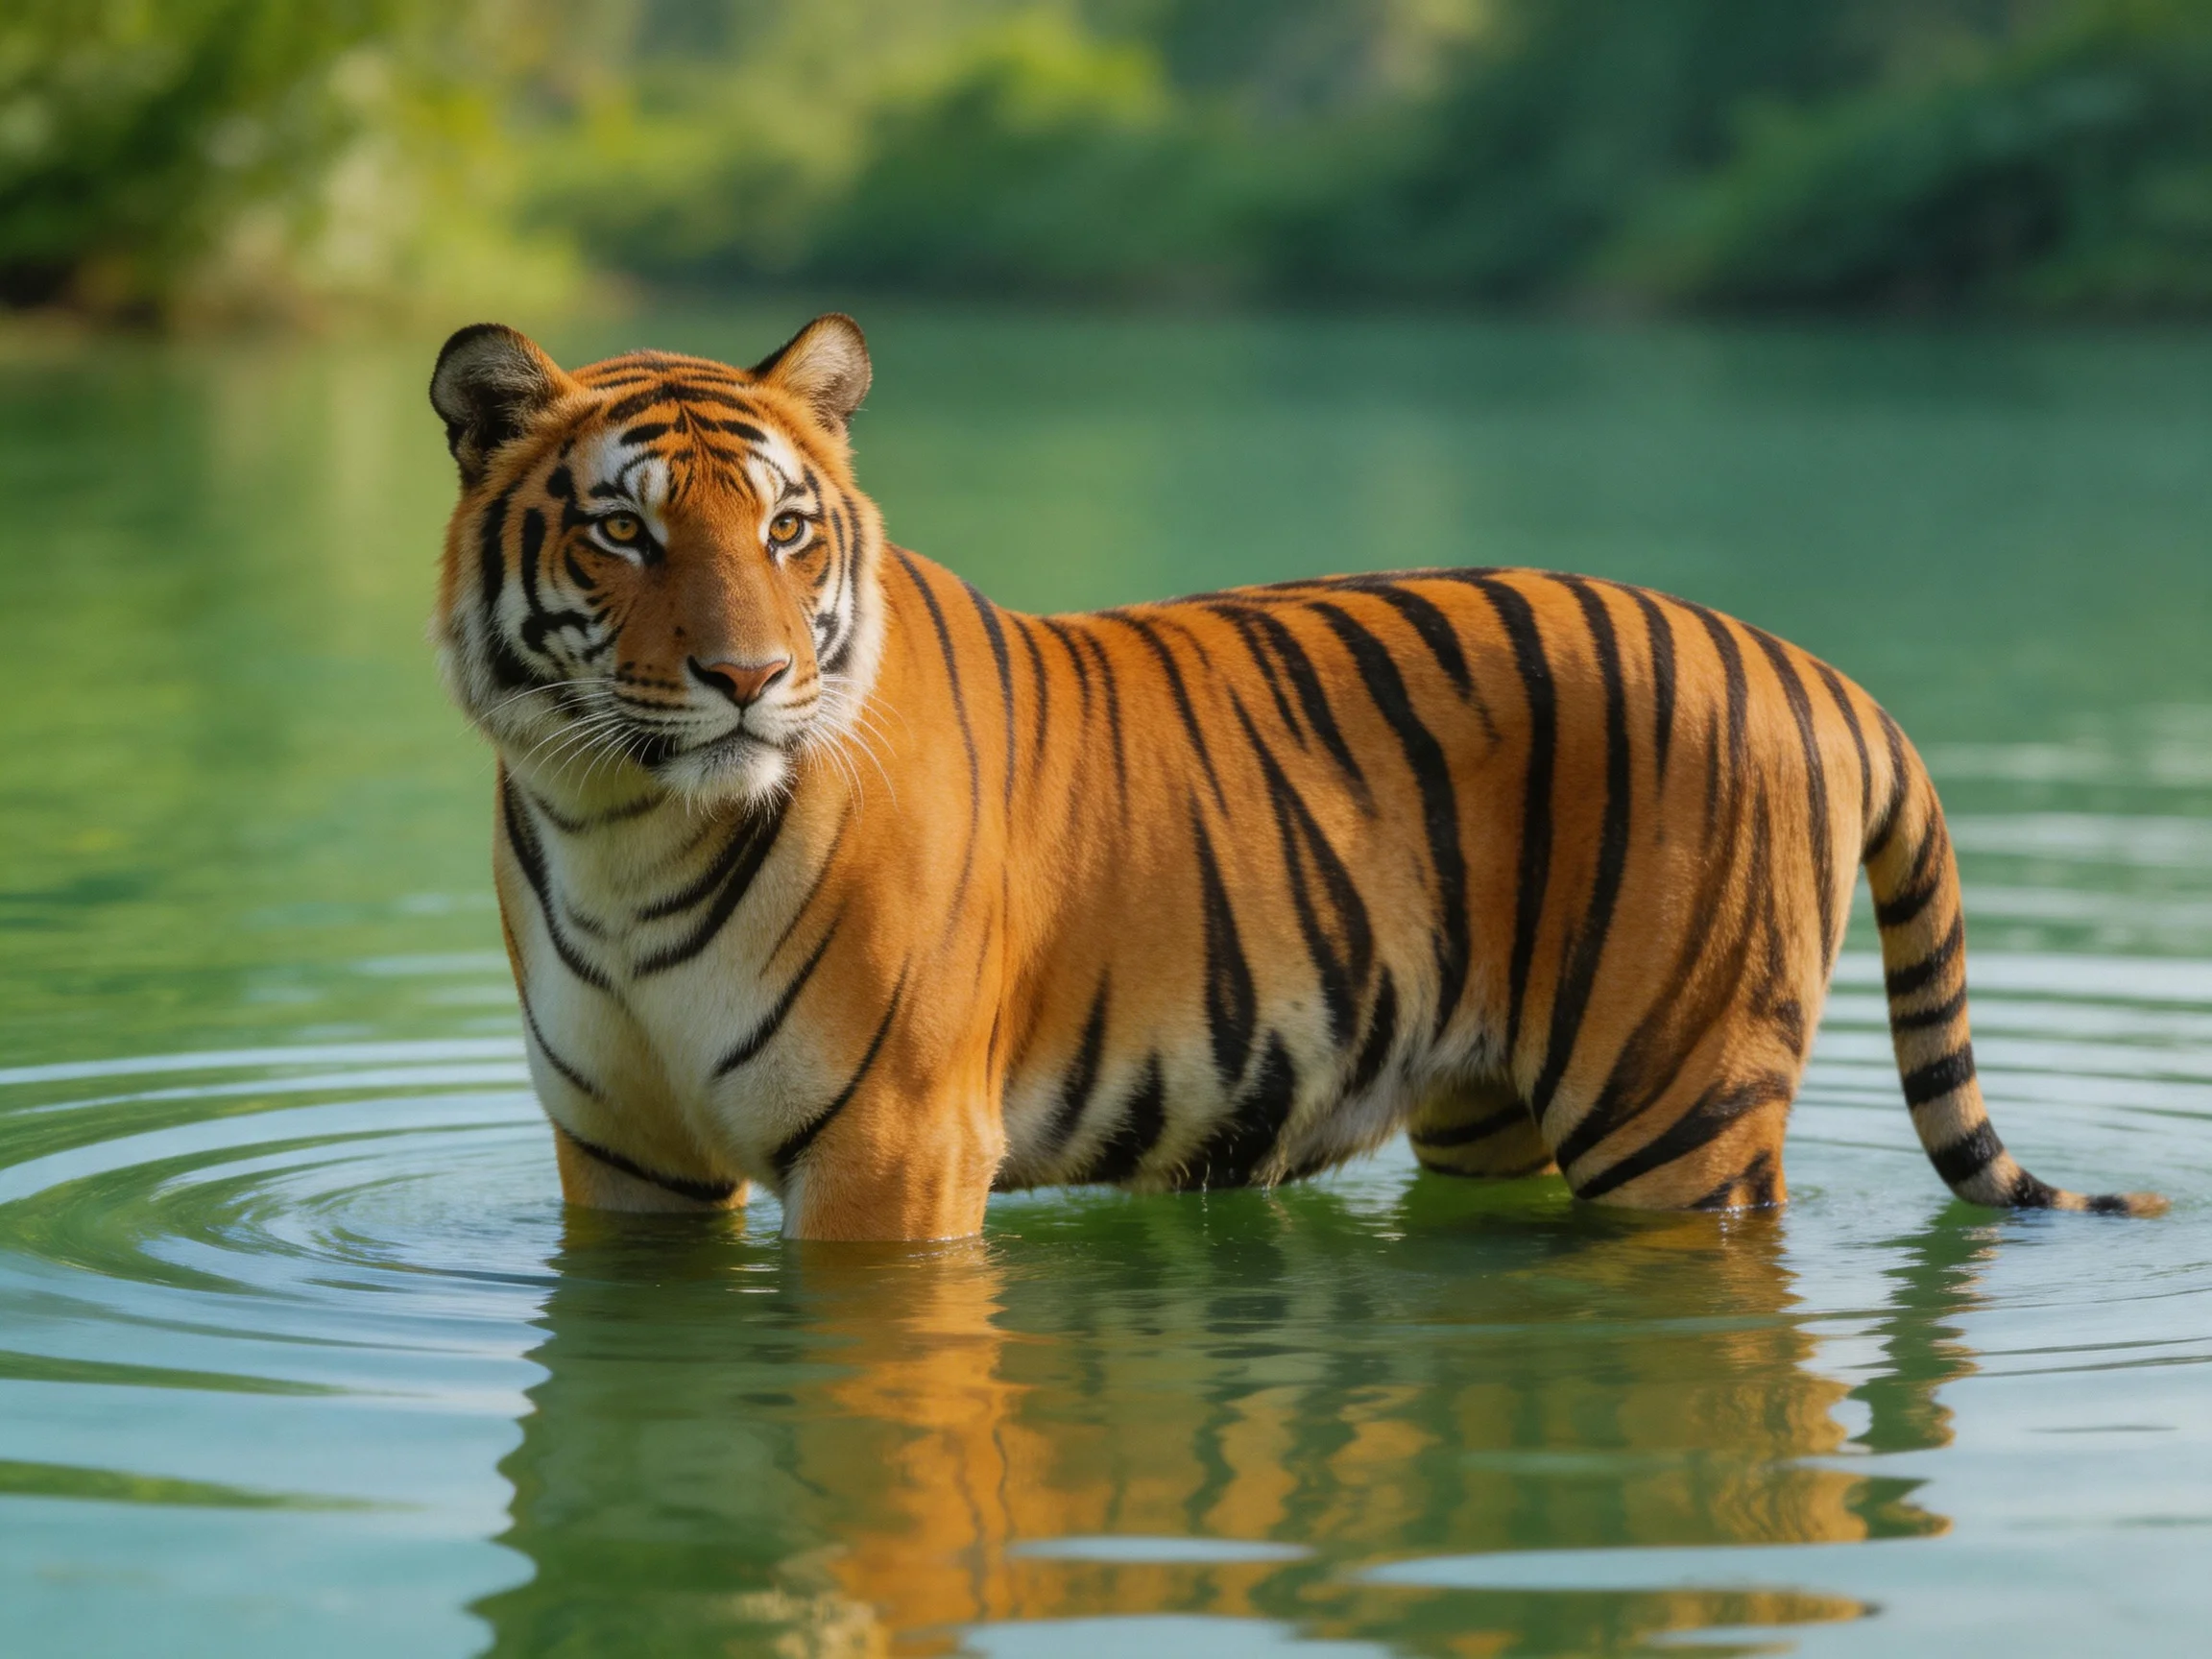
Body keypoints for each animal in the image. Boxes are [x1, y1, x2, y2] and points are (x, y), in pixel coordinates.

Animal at [428, 312, 2163, 1240]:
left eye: (787, 531)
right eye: (623, 529)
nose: (750, 678)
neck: (624, 826)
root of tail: (1816, 669)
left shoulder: (890, 1154)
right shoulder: (626, 1160)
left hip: (1678, 1110)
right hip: (1494, 1110)